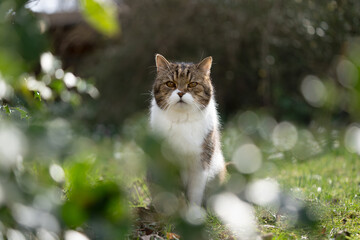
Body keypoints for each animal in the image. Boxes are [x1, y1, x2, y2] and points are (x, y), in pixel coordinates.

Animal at [149, 54, 225, 206]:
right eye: (170, 84)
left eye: (192, 84)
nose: (181, 93)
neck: (182, 120)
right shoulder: (167, 161)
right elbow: (174, 191)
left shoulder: (201, 160)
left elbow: (195, 192)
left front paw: (193, 211)